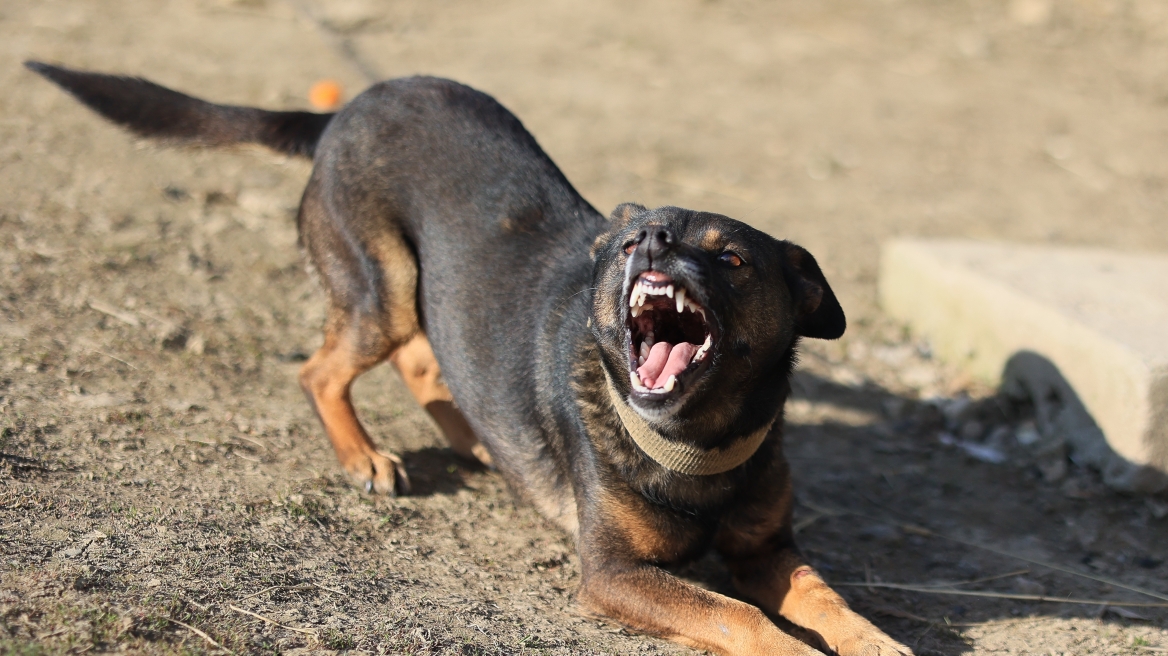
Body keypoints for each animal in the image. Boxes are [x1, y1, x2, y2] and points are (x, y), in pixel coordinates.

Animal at [29, 62, 911, 653]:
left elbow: (830, 602)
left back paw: (477, 443)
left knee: (428, 363)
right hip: (381, 289)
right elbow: (739, 613)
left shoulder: (770, 550)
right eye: (633, 241)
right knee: (322, 369)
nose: (655, 240)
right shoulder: (613, 574)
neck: (697, 441)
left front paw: (876, 641)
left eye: (732, 259)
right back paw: (364, 456)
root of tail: (346, 110)